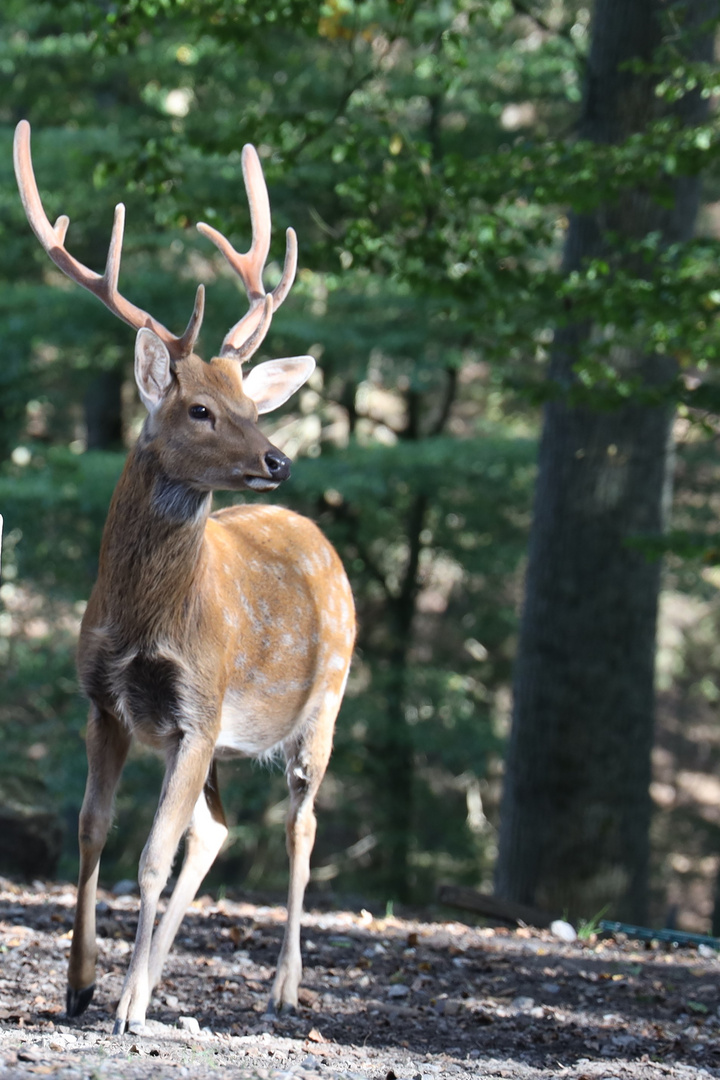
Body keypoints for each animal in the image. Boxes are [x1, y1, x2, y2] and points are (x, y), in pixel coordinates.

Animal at [12, 120, 356, 1036]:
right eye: (200, 408)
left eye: (253, 404)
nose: (278, 459)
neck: (146, 619)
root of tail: (318, 534)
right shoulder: (109, 703)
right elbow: (95, 831)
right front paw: (82, 986)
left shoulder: (199, 702)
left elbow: (151, 851)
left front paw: (126, 1004)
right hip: (209, 740)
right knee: (217, 830)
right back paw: (158, 978)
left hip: (323, 701)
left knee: (301, 824)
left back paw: (281, 987)